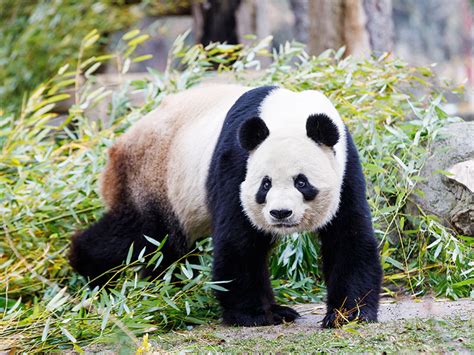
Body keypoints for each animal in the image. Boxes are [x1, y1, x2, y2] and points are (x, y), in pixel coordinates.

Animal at [68, 83, 384, 328]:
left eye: (302, 182)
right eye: (265, 184)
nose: (280, 213)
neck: (289, 116)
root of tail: (119, 144)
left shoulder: (345, 166)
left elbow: (349, 237)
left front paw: (348, 313)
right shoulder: (236, 162)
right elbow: (239, 241)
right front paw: (257, 314)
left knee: (168, 252)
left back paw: (168, 288)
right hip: (152, 178)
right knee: (138, 236)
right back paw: (93, 273)